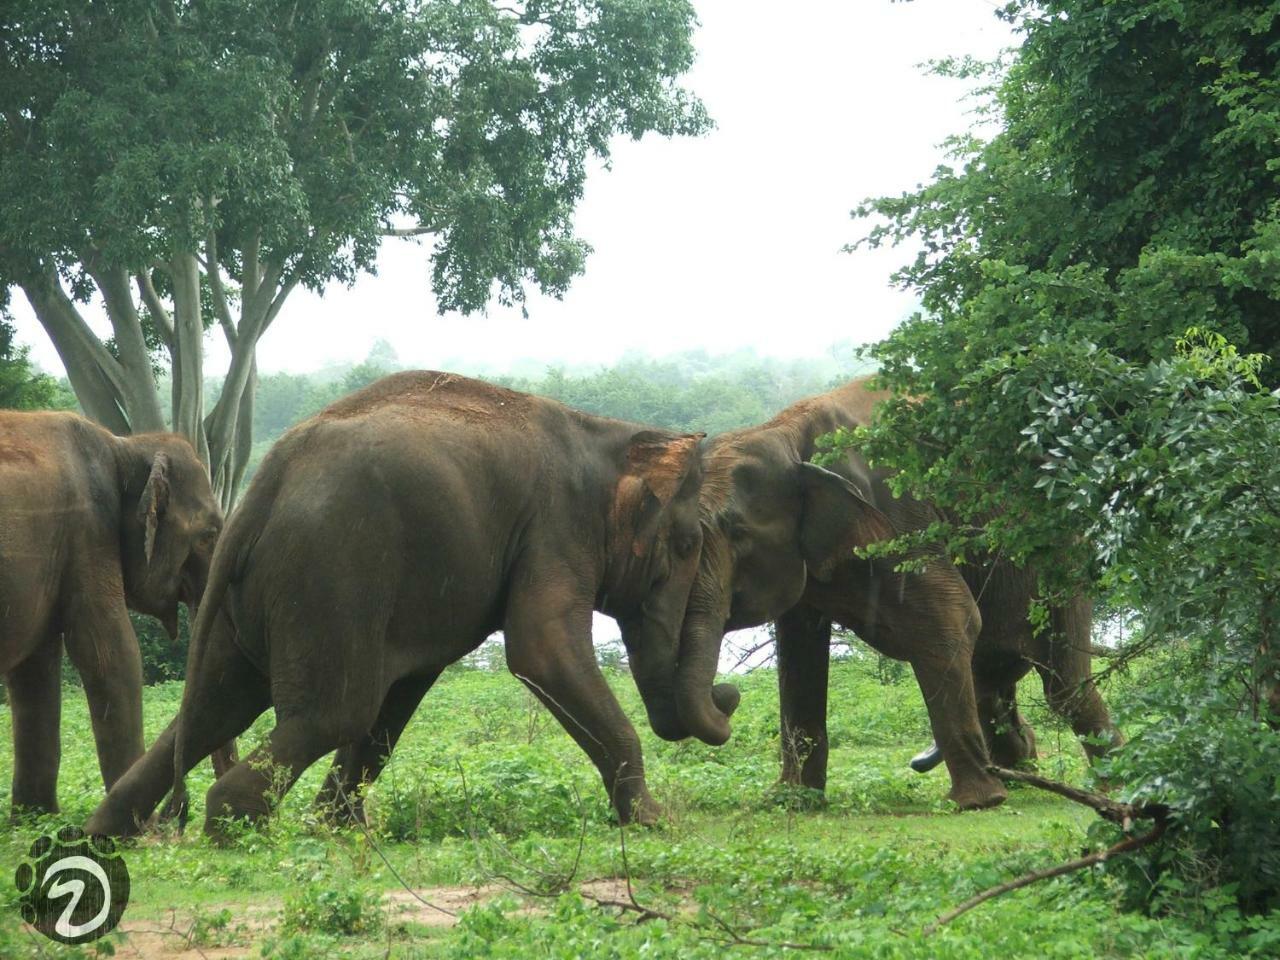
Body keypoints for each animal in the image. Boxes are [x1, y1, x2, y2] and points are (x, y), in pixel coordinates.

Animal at [0, 414, 224, 819]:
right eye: (207, 535)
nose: (181, 808)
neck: (123, 446)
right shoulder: (88, 531)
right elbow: (109, 652)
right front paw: (138, 825)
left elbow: (35, 669)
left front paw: (35, 818)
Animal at [85, 371, 742, 839]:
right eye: (688, 545)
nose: (728, 694)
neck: (607, 433)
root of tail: (261, 488)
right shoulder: (555, 528)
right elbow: (541, 652)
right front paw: (655, 821)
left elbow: (401, 693)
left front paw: (335, 828)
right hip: (328, 573)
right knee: (331, 712)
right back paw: (231, 825)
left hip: (253, 596)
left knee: (217, 708)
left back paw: (103, 832)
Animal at [680, 376, 1121, 814]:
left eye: (738, 533)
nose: (726, 693)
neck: (784, 434)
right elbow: (798, 653)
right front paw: (790, 800)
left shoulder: (899, 517)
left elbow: (950, 617)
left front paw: (976, 803)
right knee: (990, 683)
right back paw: (1021, 766)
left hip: (1061, 553)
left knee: (1063, 686)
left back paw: (1106, 783)